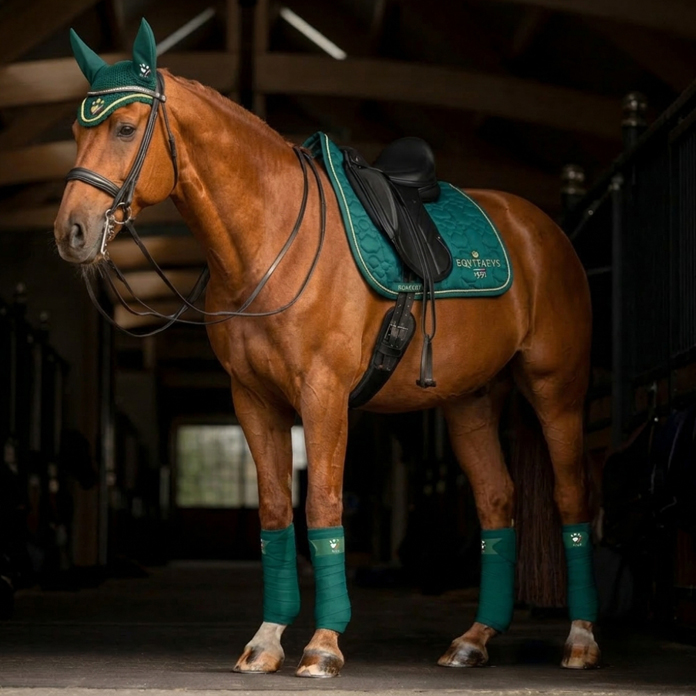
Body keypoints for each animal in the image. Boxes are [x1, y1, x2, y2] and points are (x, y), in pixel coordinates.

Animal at [54, 20, 600, 678]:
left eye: (126, 128)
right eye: (75, 131)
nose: (72, 232)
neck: (270, 240)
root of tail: (545, 231)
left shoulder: (322, 395)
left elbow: (322, 506)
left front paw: (322, 645)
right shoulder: (254, 402)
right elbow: (273, 514)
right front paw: (266, 641)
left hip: (556, 391)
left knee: (572, 497)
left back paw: (580, 639)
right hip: (470, 401)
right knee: (497, 503)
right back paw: (473, 639)